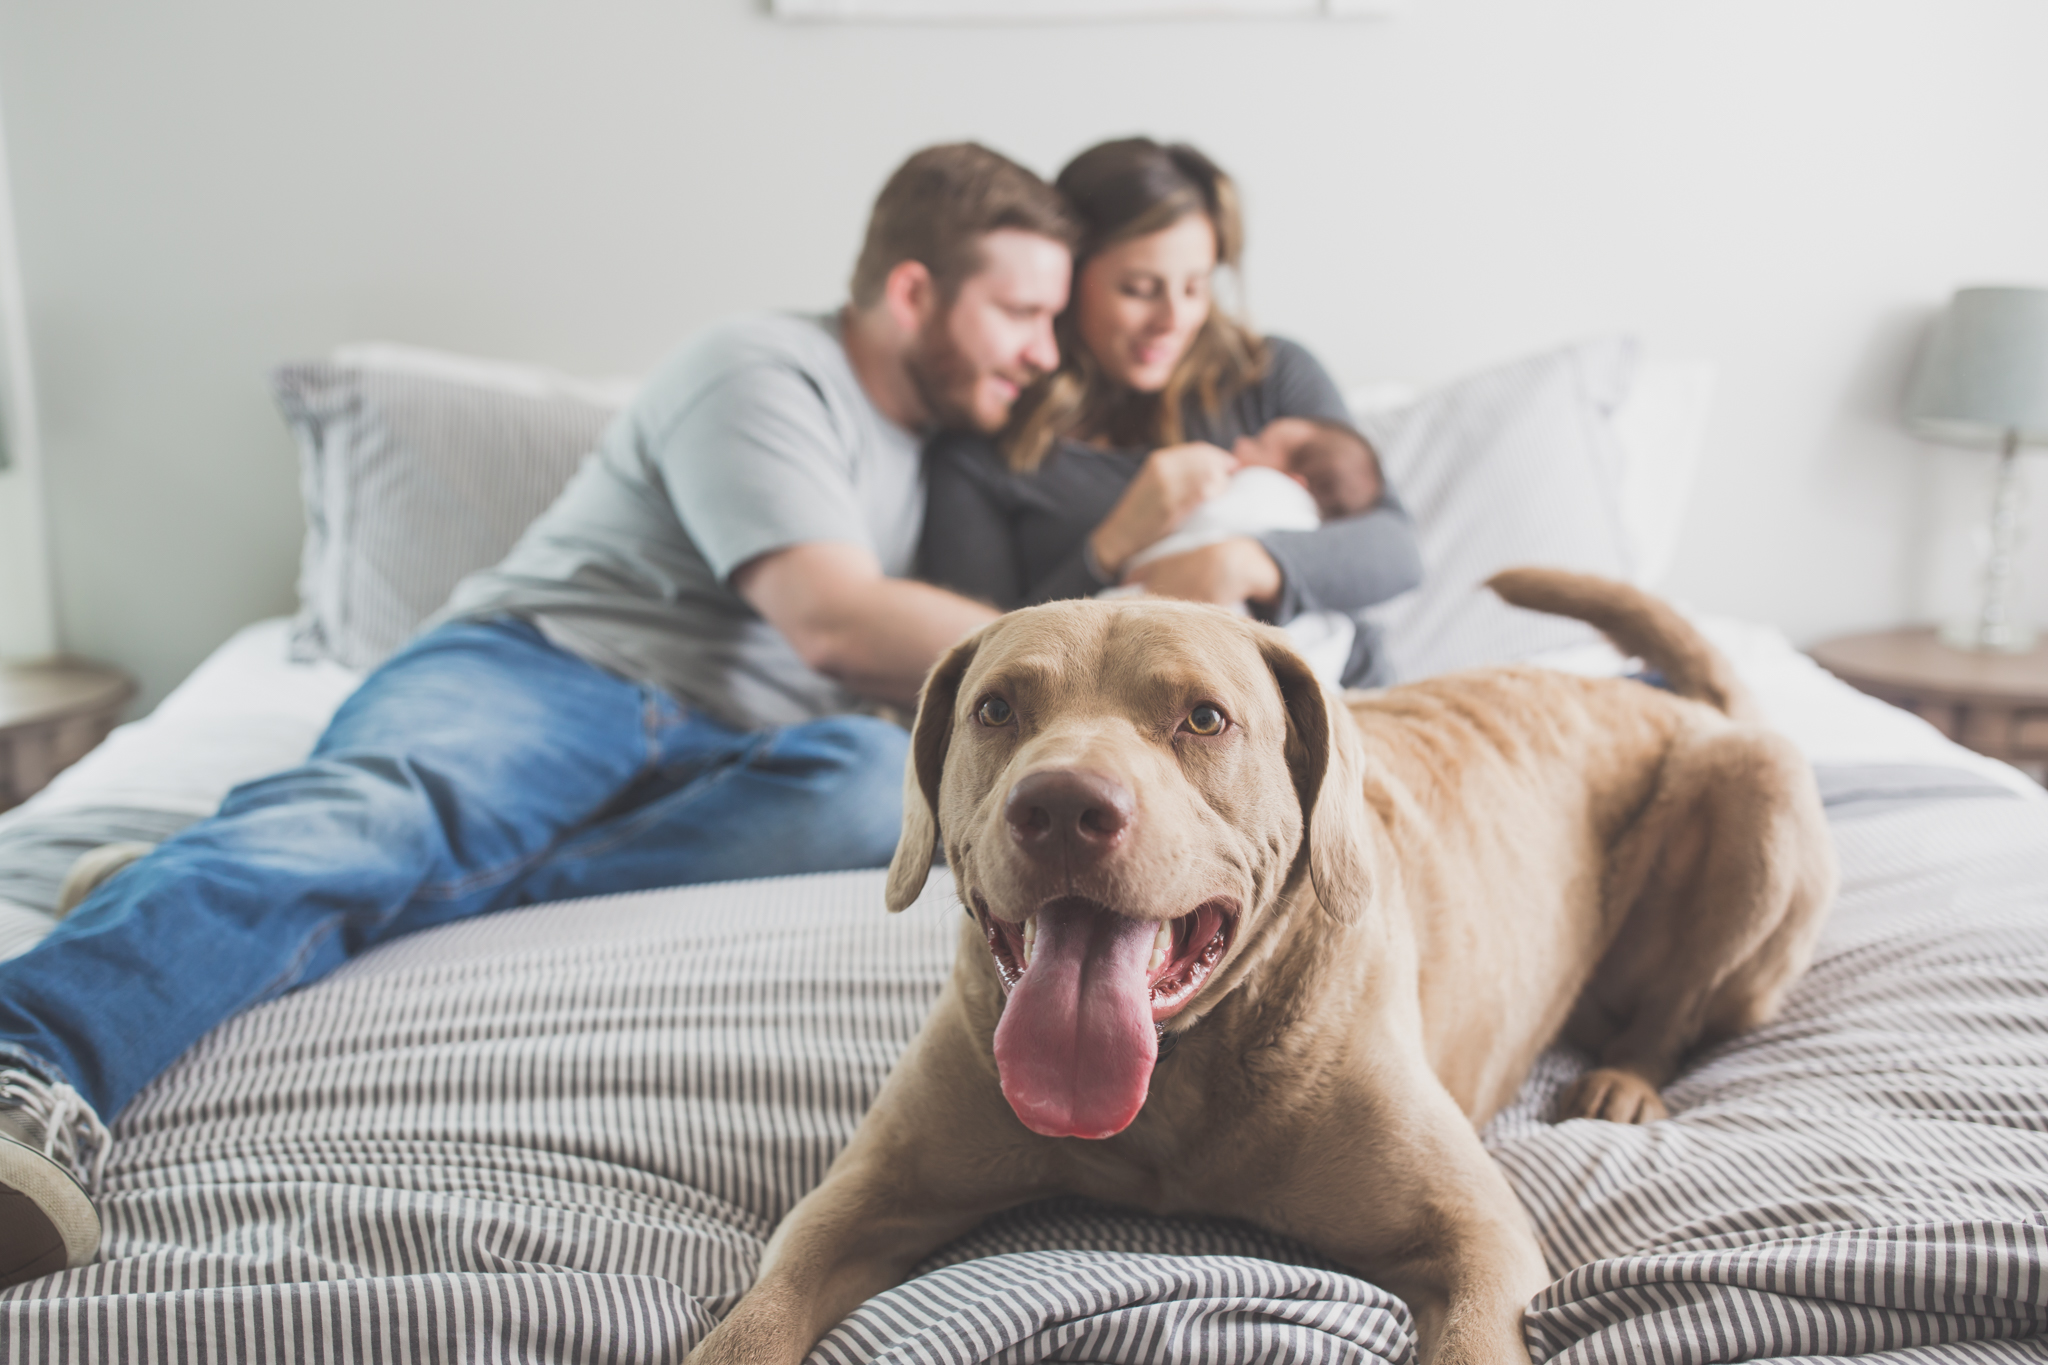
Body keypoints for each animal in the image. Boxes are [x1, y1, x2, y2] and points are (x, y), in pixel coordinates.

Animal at [692, 568, 1843, 1365]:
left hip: (1755, 794)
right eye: (997, 709)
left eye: (1203, 717)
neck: (1170, 1079)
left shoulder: (1475, 1235)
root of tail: (1693, 704)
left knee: (1679, 1006)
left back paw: (1623, 1078)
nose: (1061, 805)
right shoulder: (861, 1195)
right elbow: (760, 1310)